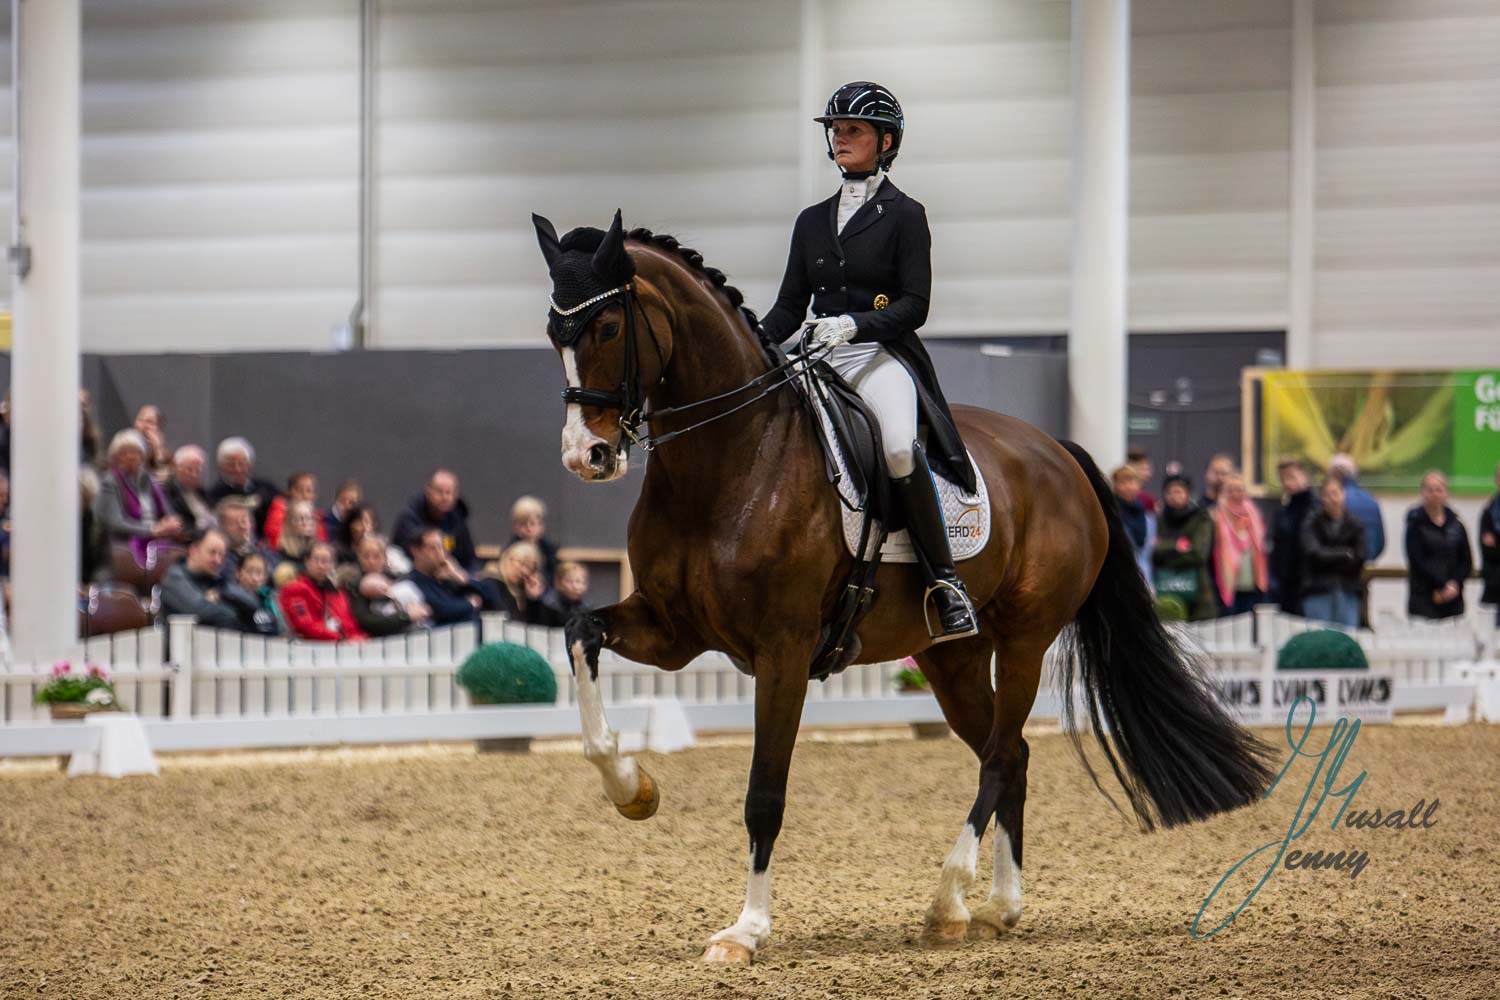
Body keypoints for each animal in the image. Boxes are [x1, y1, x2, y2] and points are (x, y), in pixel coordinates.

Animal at [534, 209, 1272, 959]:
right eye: (553, 332)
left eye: (608, 328)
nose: (584, 456)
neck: (731, 460)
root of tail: (1057, 452)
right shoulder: (673, 629)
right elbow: (580, 633)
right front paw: (633, 790)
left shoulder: (783, 649)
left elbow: (764, 793)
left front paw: (747, 929)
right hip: (952, 657)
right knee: (1014, 755)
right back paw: (1000, 906)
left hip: (1026, 639)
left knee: (1000, 757)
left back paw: (949, 900)